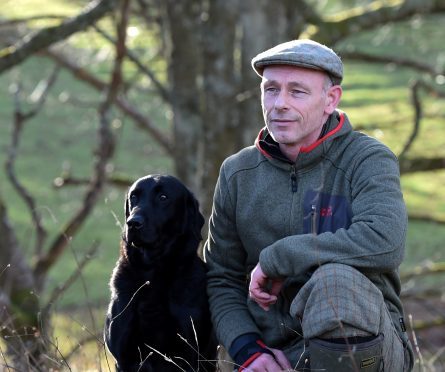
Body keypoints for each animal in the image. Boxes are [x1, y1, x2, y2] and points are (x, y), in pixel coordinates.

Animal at [104, 175, 215, 372]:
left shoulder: (190, 356)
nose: (133, 222)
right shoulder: (124, 358)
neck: (153, 270)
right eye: (133, 197)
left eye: (163, 197)